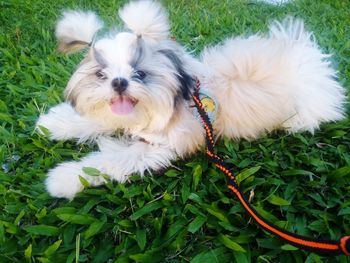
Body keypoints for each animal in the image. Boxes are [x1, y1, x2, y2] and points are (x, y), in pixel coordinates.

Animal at [37, 0, 346, 200]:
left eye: (140, 74)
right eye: (101, 74)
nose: (119, 82)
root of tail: (311, 58)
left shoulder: (160, 146)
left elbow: (112, 159)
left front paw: (63, 179)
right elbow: (94, 120)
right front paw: (53, 123)